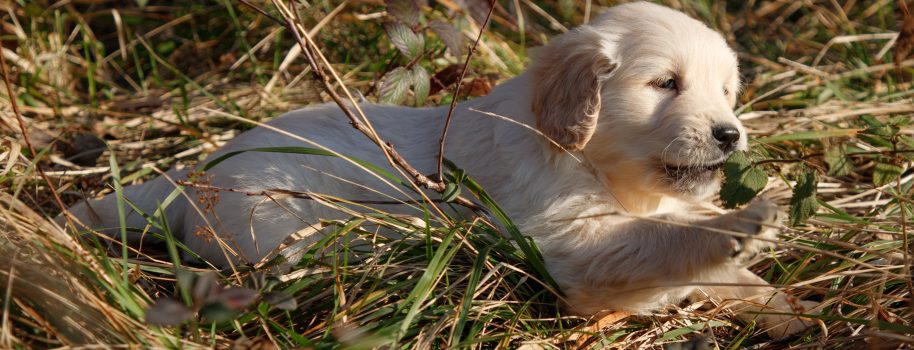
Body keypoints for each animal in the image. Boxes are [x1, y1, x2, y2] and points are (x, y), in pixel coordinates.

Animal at [67, 1, 816, 338]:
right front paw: (750, 222)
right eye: (665, 84)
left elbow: (706, 257)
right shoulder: (570, 251)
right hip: (273, 222)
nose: (730, 135)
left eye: (728, 91)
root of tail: (189, 173)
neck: (594, 165)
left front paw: (785, 308)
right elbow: (665, 245)